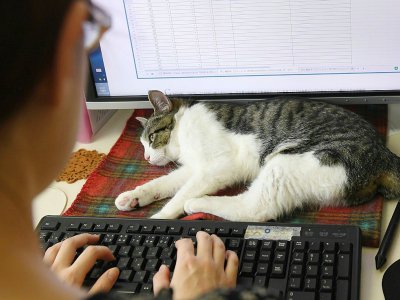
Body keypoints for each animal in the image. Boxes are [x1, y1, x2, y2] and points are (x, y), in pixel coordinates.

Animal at [114, 89, 400, 220]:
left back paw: (197, 203)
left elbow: (180, 193)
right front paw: (134, 197)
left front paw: (160, 218)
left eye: (152, 138)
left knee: (254, 209)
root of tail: (383, 152)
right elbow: (163, 183)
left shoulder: (218, 166)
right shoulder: (195, 167)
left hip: (288, 163)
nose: (146, 157)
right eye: (142, 145)